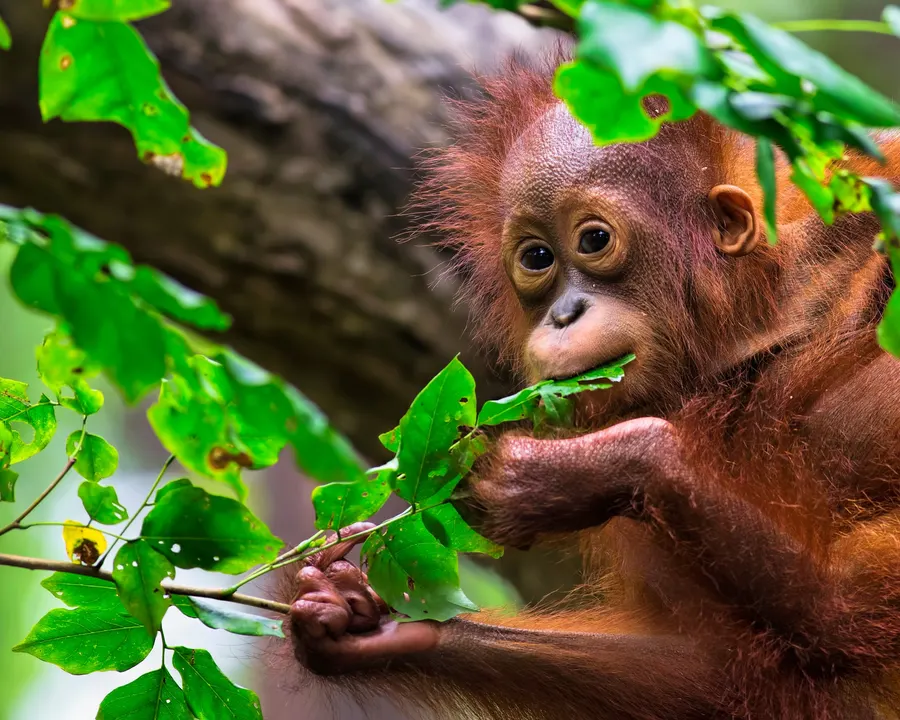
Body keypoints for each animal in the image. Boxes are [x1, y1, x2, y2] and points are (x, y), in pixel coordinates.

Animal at [287, 55, 900, 720]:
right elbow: (716, 674)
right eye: (536, 257)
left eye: (594, 240)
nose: (563, 314)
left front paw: (559, 475)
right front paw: (369, 622)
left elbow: (847, 610)